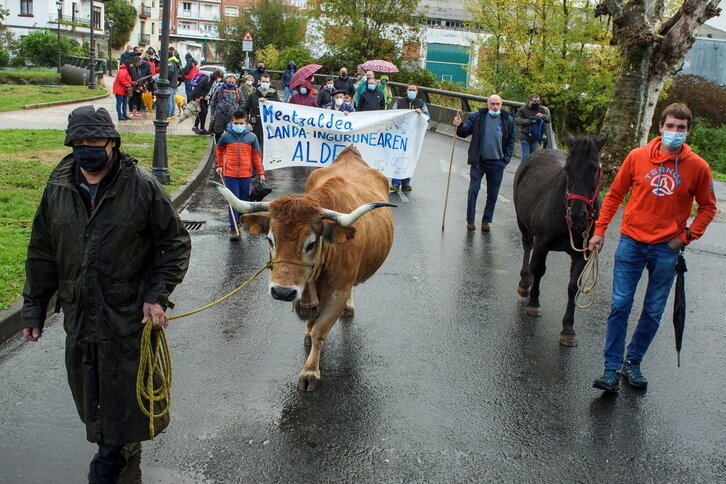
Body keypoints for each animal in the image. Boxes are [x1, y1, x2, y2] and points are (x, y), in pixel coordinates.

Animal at [215, 146, 396, 392]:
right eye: (270, 239)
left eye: (310, 244)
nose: (282, 292)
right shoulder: (303, 290)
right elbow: (312, 322)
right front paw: (308, 333)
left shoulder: (338, 292)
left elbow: (321, 331)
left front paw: (310, 372)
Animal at [516, 132, 612, 344]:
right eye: (568, 169)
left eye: (595, 169)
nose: (577, 215)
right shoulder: (542, 243)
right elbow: (539, 271)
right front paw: (534, 303)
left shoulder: (582, 254)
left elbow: (573, 287)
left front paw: (568, 328)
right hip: (523, 225)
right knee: (527, 247)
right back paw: (525, 282)